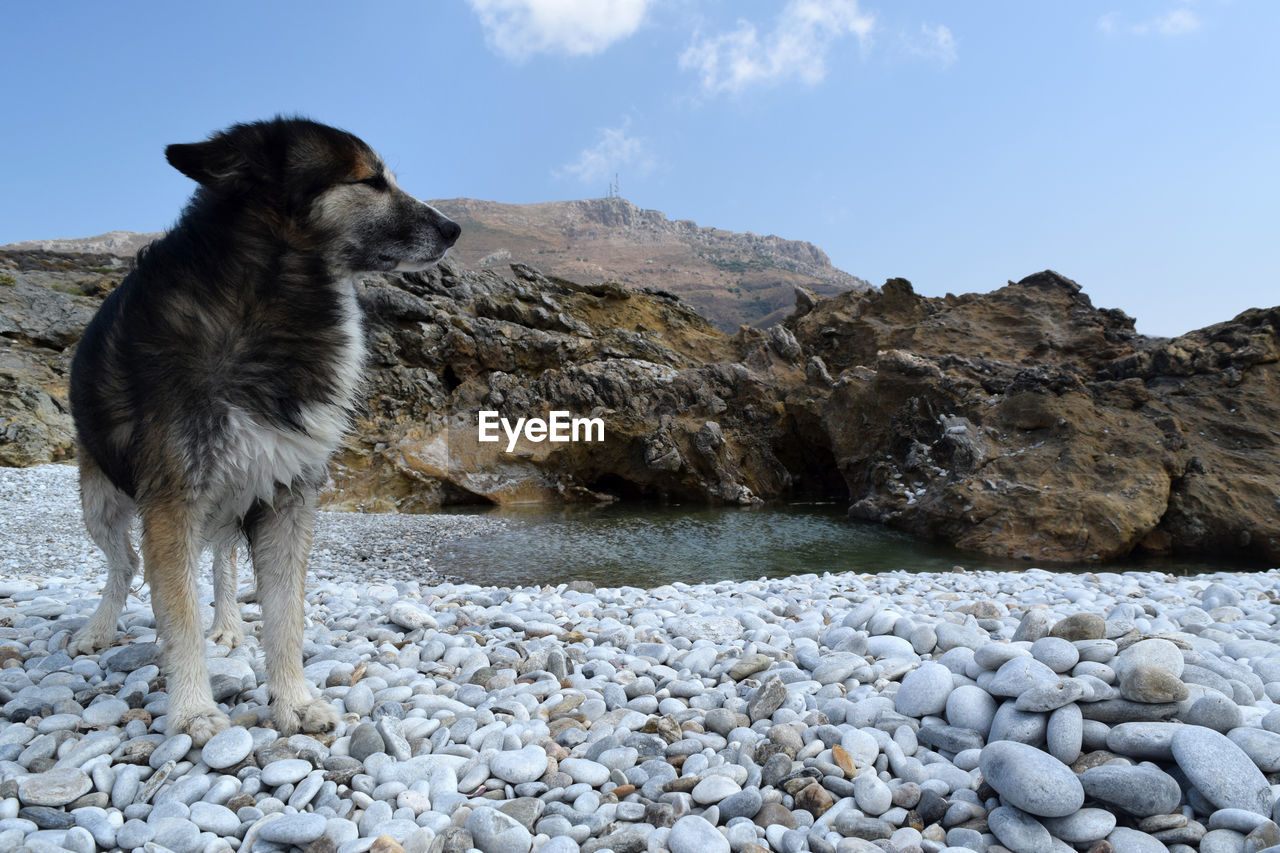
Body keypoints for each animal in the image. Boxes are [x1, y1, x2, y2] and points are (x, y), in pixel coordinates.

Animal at [68, 116, 460, 742]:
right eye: (369, 180)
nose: (454, 229)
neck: (275, 296)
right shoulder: (172, 502)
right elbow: (177, 614)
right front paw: (193, 710)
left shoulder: (287, 493)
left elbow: (285, 615)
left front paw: (293, 701)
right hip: (99, 498)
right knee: (123, 564)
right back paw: (99, 628)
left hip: (231, 495)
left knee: (223, 564)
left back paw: (228, 624)